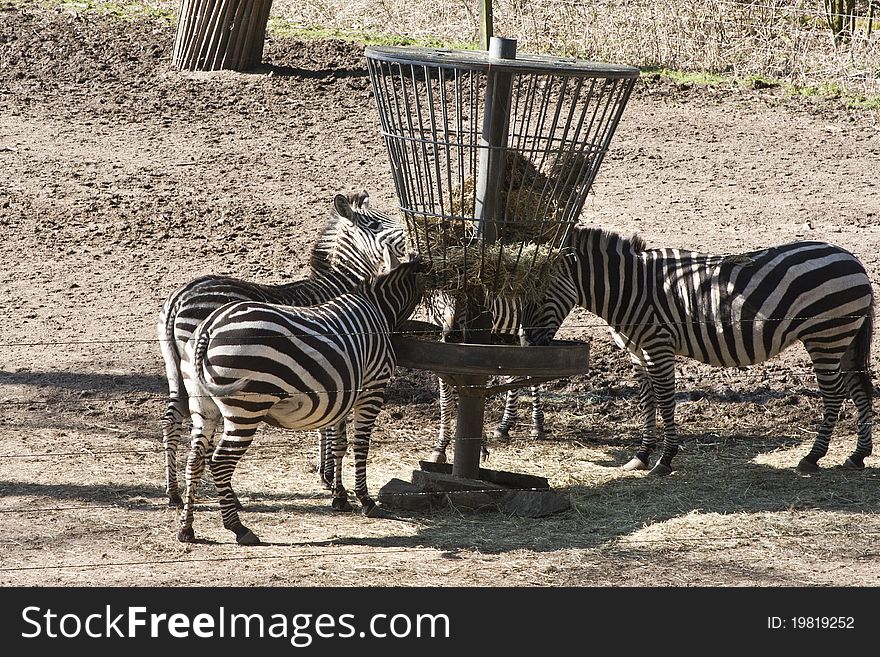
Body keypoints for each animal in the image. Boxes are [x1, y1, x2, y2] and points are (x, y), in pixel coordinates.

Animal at [158, 190, 406, 508]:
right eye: (374, 224)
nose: (410, 234)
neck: (341, 287)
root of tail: (179, 297)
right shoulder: (339, 360)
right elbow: (330, 425)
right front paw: (331, 481)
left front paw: (326, 476)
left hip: (178, 369)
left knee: (172, 421)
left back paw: (175, 493)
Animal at [175, 251, 422, 544]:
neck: (377, 308)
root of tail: (209, 328)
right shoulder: (373, 387)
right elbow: (361, 444)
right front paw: (365, 500)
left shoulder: (343, 392)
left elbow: (339, 444)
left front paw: (339, 495)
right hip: (246, 407)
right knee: (220, 461)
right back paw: (238, 528)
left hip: (203, 404)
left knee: (195, 459)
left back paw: (186, 528)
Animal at [524, 228, 872, 474]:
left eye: (539, 295)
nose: (528, 343)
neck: (629, 289)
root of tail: (853, 260)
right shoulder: (637, 353)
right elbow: (646, 401)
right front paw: (641, 456)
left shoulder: (658, 346)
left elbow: (665, 400)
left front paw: (664, 460)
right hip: (844, 339)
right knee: (859, 390)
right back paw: (857, 456)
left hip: (825, 335)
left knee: (835, 394)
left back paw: (813, 457)